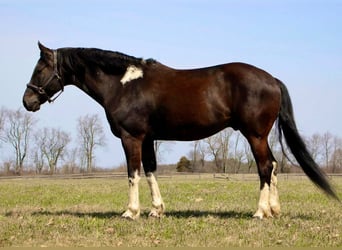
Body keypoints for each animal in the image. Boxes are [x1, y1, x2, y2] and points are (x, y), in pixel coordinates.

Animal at [22, 42, 340, 220]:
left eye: (39, 69)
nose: (27, 101)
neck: (124, 84)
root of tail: (271, 79)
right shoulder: (148, 139)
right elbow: (151, 171)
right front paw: (156, 210)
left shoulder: (131, 138)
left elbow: (132, 173)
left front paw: (130, 212)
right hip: (260, 136)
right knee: (273, 166)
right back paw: (274, 210)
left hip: (254, 135)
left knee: (264, 167)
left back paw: (260, 212)